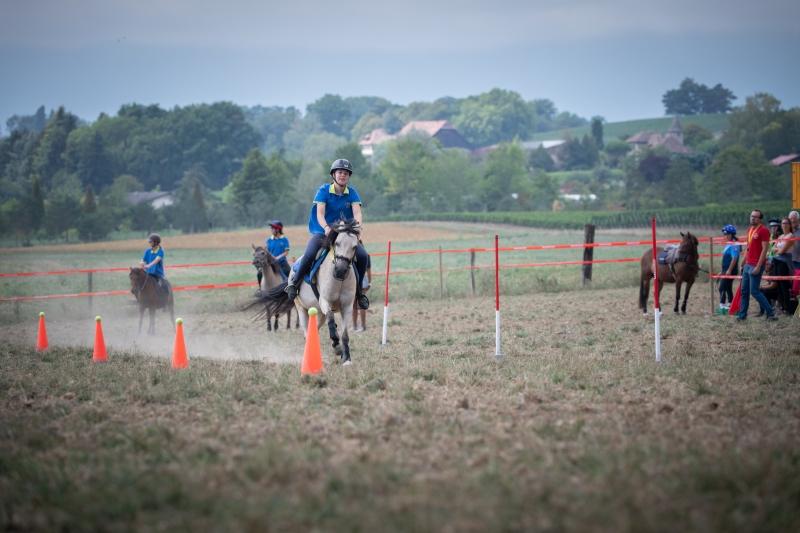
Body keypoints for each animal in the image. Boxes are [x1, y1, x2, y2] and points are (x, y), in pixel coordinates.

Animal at [256, 218, 360, 364]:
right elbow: (331, 319)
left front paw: (346, 358)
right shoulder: (325, 301)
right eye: (337, 243)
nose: (340, 270)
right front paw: (337, 346)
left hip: (318, 312)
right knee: (307, 330)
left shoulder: (347, 306)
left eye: (355, 247)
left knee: (314, 330)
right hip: (302, 309)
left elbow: (344, 334)